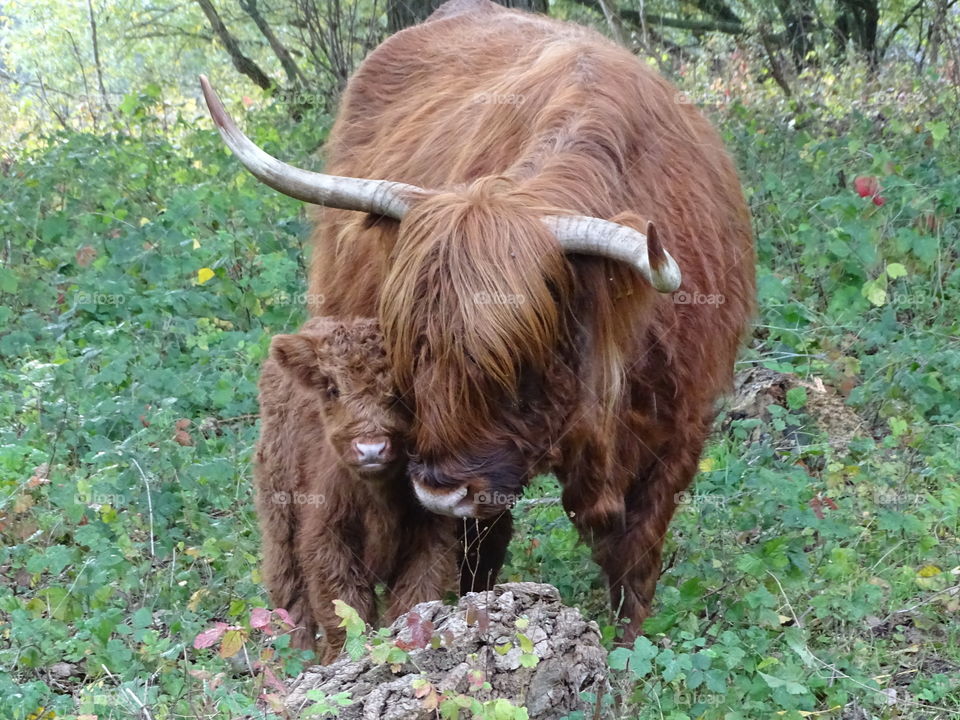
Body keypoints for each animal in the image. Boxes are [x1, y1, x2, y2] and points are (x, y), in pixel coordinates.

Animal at [255, 318, 458, 660]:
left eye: (400, 391)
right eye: (333, 388)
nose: (371, 448)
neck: (377, 500)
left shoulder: (431, 538)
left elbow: (414, 598)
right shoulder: (326, 540)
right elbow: (344, 610)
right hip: (279, 519)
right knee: (291, 598)